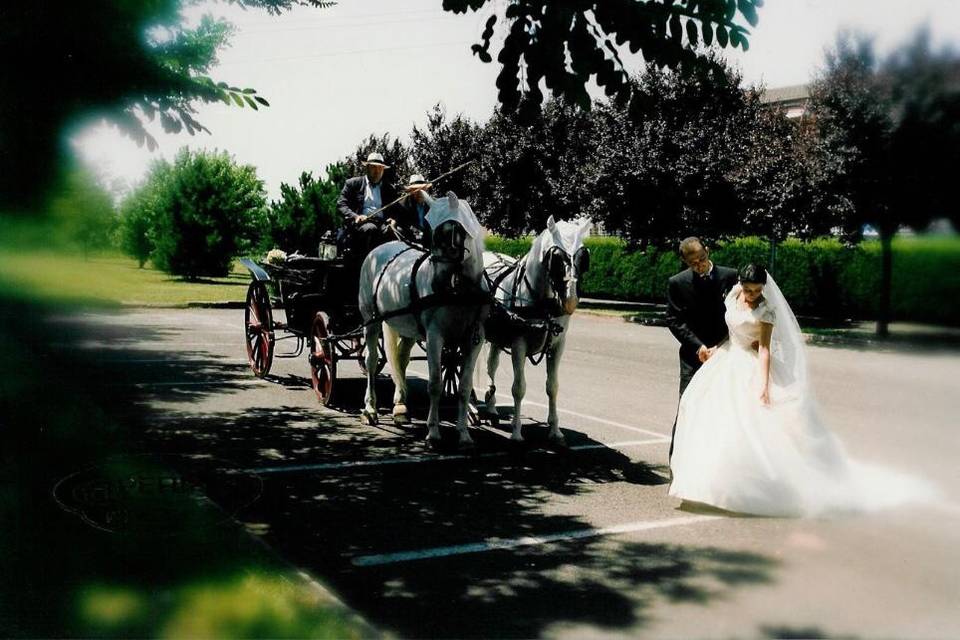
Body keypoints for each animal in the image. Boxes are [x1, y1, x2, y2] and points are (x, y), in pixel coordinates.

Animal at [356, 192, 488, 448]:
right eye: (429, 233)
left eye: (448, 234)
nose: (436, 284)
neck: (460, 291)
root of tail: (380, 248)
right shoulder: (435, 336)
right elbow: (435, 383)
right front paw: (433, 433)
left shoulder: (473, 339)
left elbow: (464, 386)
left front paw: (463, 433)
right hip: (371, 319)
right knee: (371, 360)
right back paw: (370, 409)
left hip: (407, 326)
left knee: (401, 358)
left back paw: (400, 406)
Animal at [480, 215, 592, 444]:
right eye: (556, 258)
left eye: (583, 258)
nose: (570, 301)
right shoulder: (518, 344)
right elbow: (518, 388)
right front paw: (516, 432)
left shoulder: (557, 345)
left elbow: (553, 387)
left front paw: (555, 430)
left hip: (496, 337)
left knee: (491, 366)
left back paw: (491, 407)